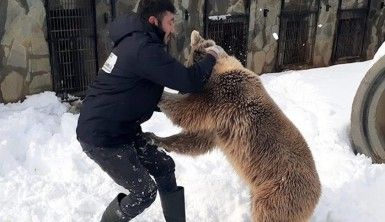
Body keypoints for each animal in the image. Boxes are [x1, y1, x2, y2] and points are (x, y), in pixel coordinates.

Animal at [146, 30, 320, 222]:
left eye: (188, 64)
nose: (180, 90)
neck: (219, 70)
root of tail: (317, 195)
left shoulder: (224, 98)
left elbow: (188, 110)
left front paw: (161, 95)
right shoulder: (217, 126)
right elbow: (196, 140)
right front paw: (153, 137)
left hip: (279, 193)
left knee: (267, 212)